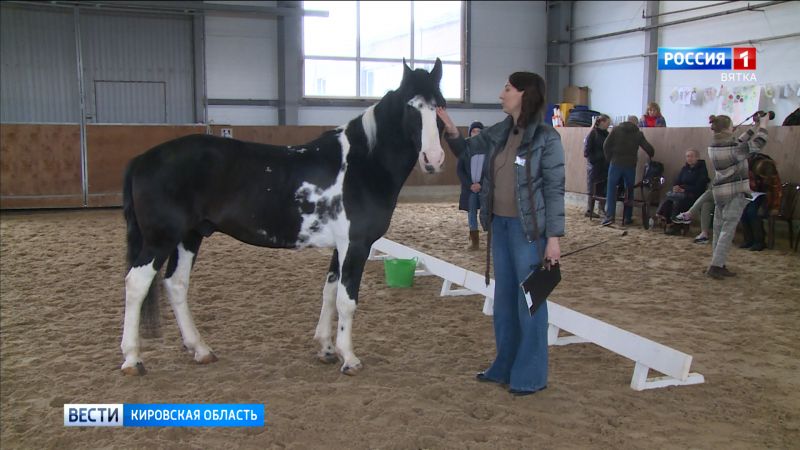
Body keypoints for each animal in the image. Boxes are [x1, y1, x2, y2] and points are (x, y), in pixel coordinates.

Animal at [120, 59, 444, 376]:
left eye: (439, 105)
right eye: (411, 106)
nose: (434, 159)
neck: (362, 163)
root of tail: (142, 159)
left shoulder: (339, 246)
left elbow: (329, 292)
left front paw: (327, 349)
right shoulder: (356, 244)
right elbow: (347, 300)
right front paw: (349, 358)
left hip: (189, 236)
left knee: (176, 284)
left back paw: (200, 350)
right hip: (161, 239)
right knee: (136, 284)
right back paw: (133, 359)